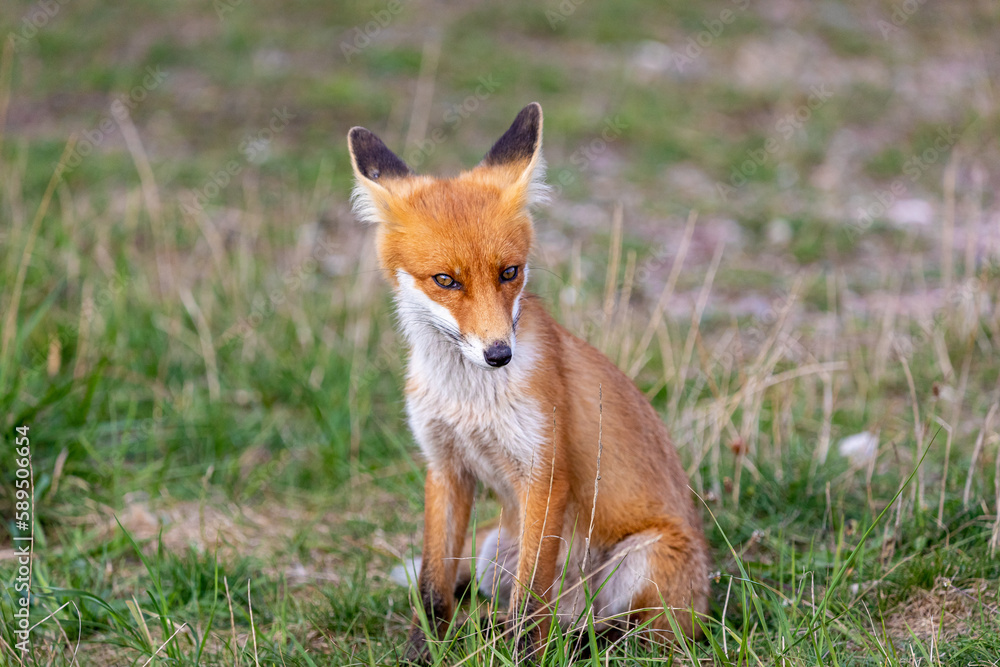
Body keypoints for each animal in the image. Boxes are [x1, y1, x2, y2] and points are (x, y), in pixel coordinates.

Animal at [350, 102, 712, 660]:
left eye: (509, 272)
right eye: (445, 280)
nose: (499, 354)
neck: (469, 401)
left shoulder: (544, 474)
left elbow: (529, 603)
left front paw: (520, 654)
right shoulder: (444, 466)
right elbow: (433, 586)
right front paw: (421, 651)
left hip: (641, 561)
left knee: (625, 634)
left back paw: (567, 639)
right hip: (492, 551)